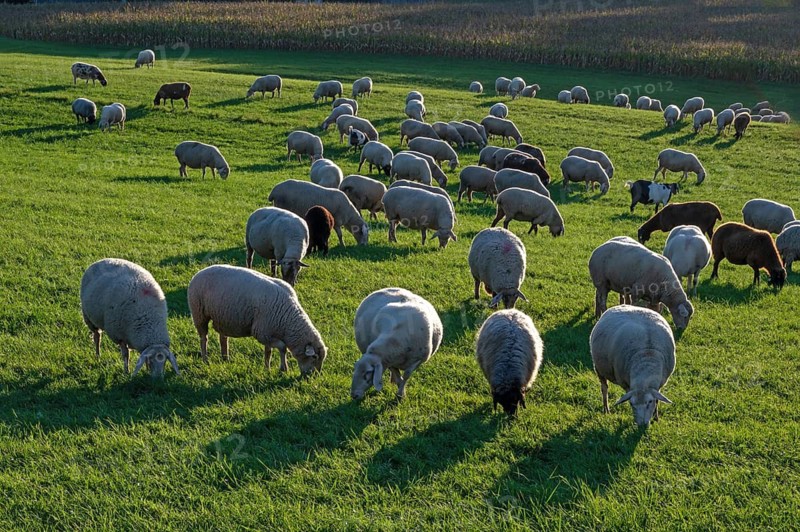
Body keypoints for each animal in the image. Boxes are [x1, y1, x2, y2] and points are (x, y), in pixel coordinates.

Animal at [188, 265, 327, 374]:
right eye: (314, 357)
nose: (314, 376)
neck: (286, 320)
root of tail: (199, 272)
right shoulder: (261, 332)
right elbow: (283, 347)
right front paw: (283, 368)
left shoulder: (267, 333)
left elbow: (268, 352)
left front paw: (267, 368)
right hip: (199, 313)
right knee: (204, 338)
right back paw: (205, 359)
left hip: (223, 317)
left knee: (223, 338)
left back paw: (225, 357)